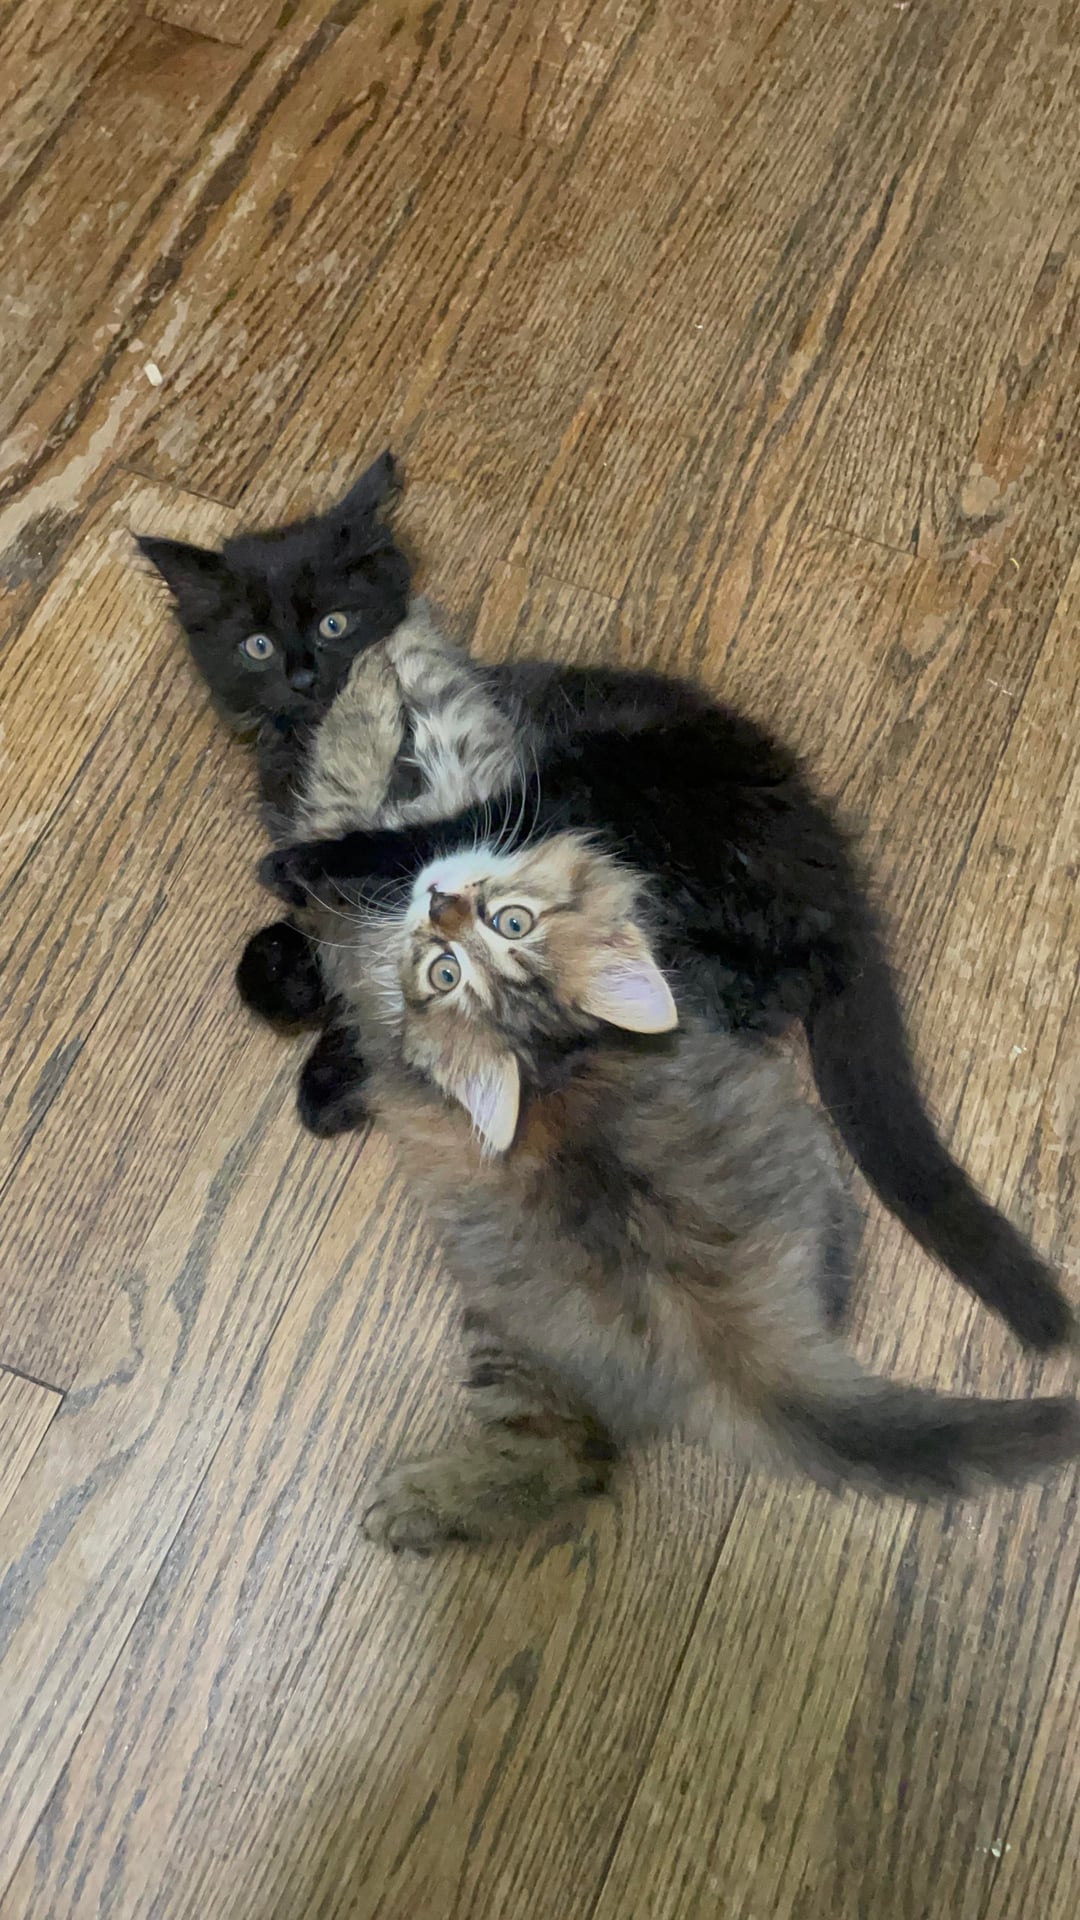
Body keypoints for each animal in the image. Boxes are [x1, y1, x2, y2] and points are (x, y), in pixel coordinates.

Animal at [138, 461, 1074, 1353]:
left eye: (336, 624)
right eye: (256, 644)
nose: (303, 677)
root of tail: (836, 888)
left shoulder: (483, 813)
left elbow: (407, 911)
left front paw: (327, 1032)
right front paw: (296, 985)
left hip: (608, 795)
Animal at [328, 831, 1080, 1549]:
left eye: (511, 921)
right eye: (445, 972)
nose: (439, 903)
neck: (551, 1060)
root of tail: (721, 1328)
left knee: (576, 1456)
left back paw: (418, 1508)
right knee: (572, 1457)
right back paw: (419, 1509)